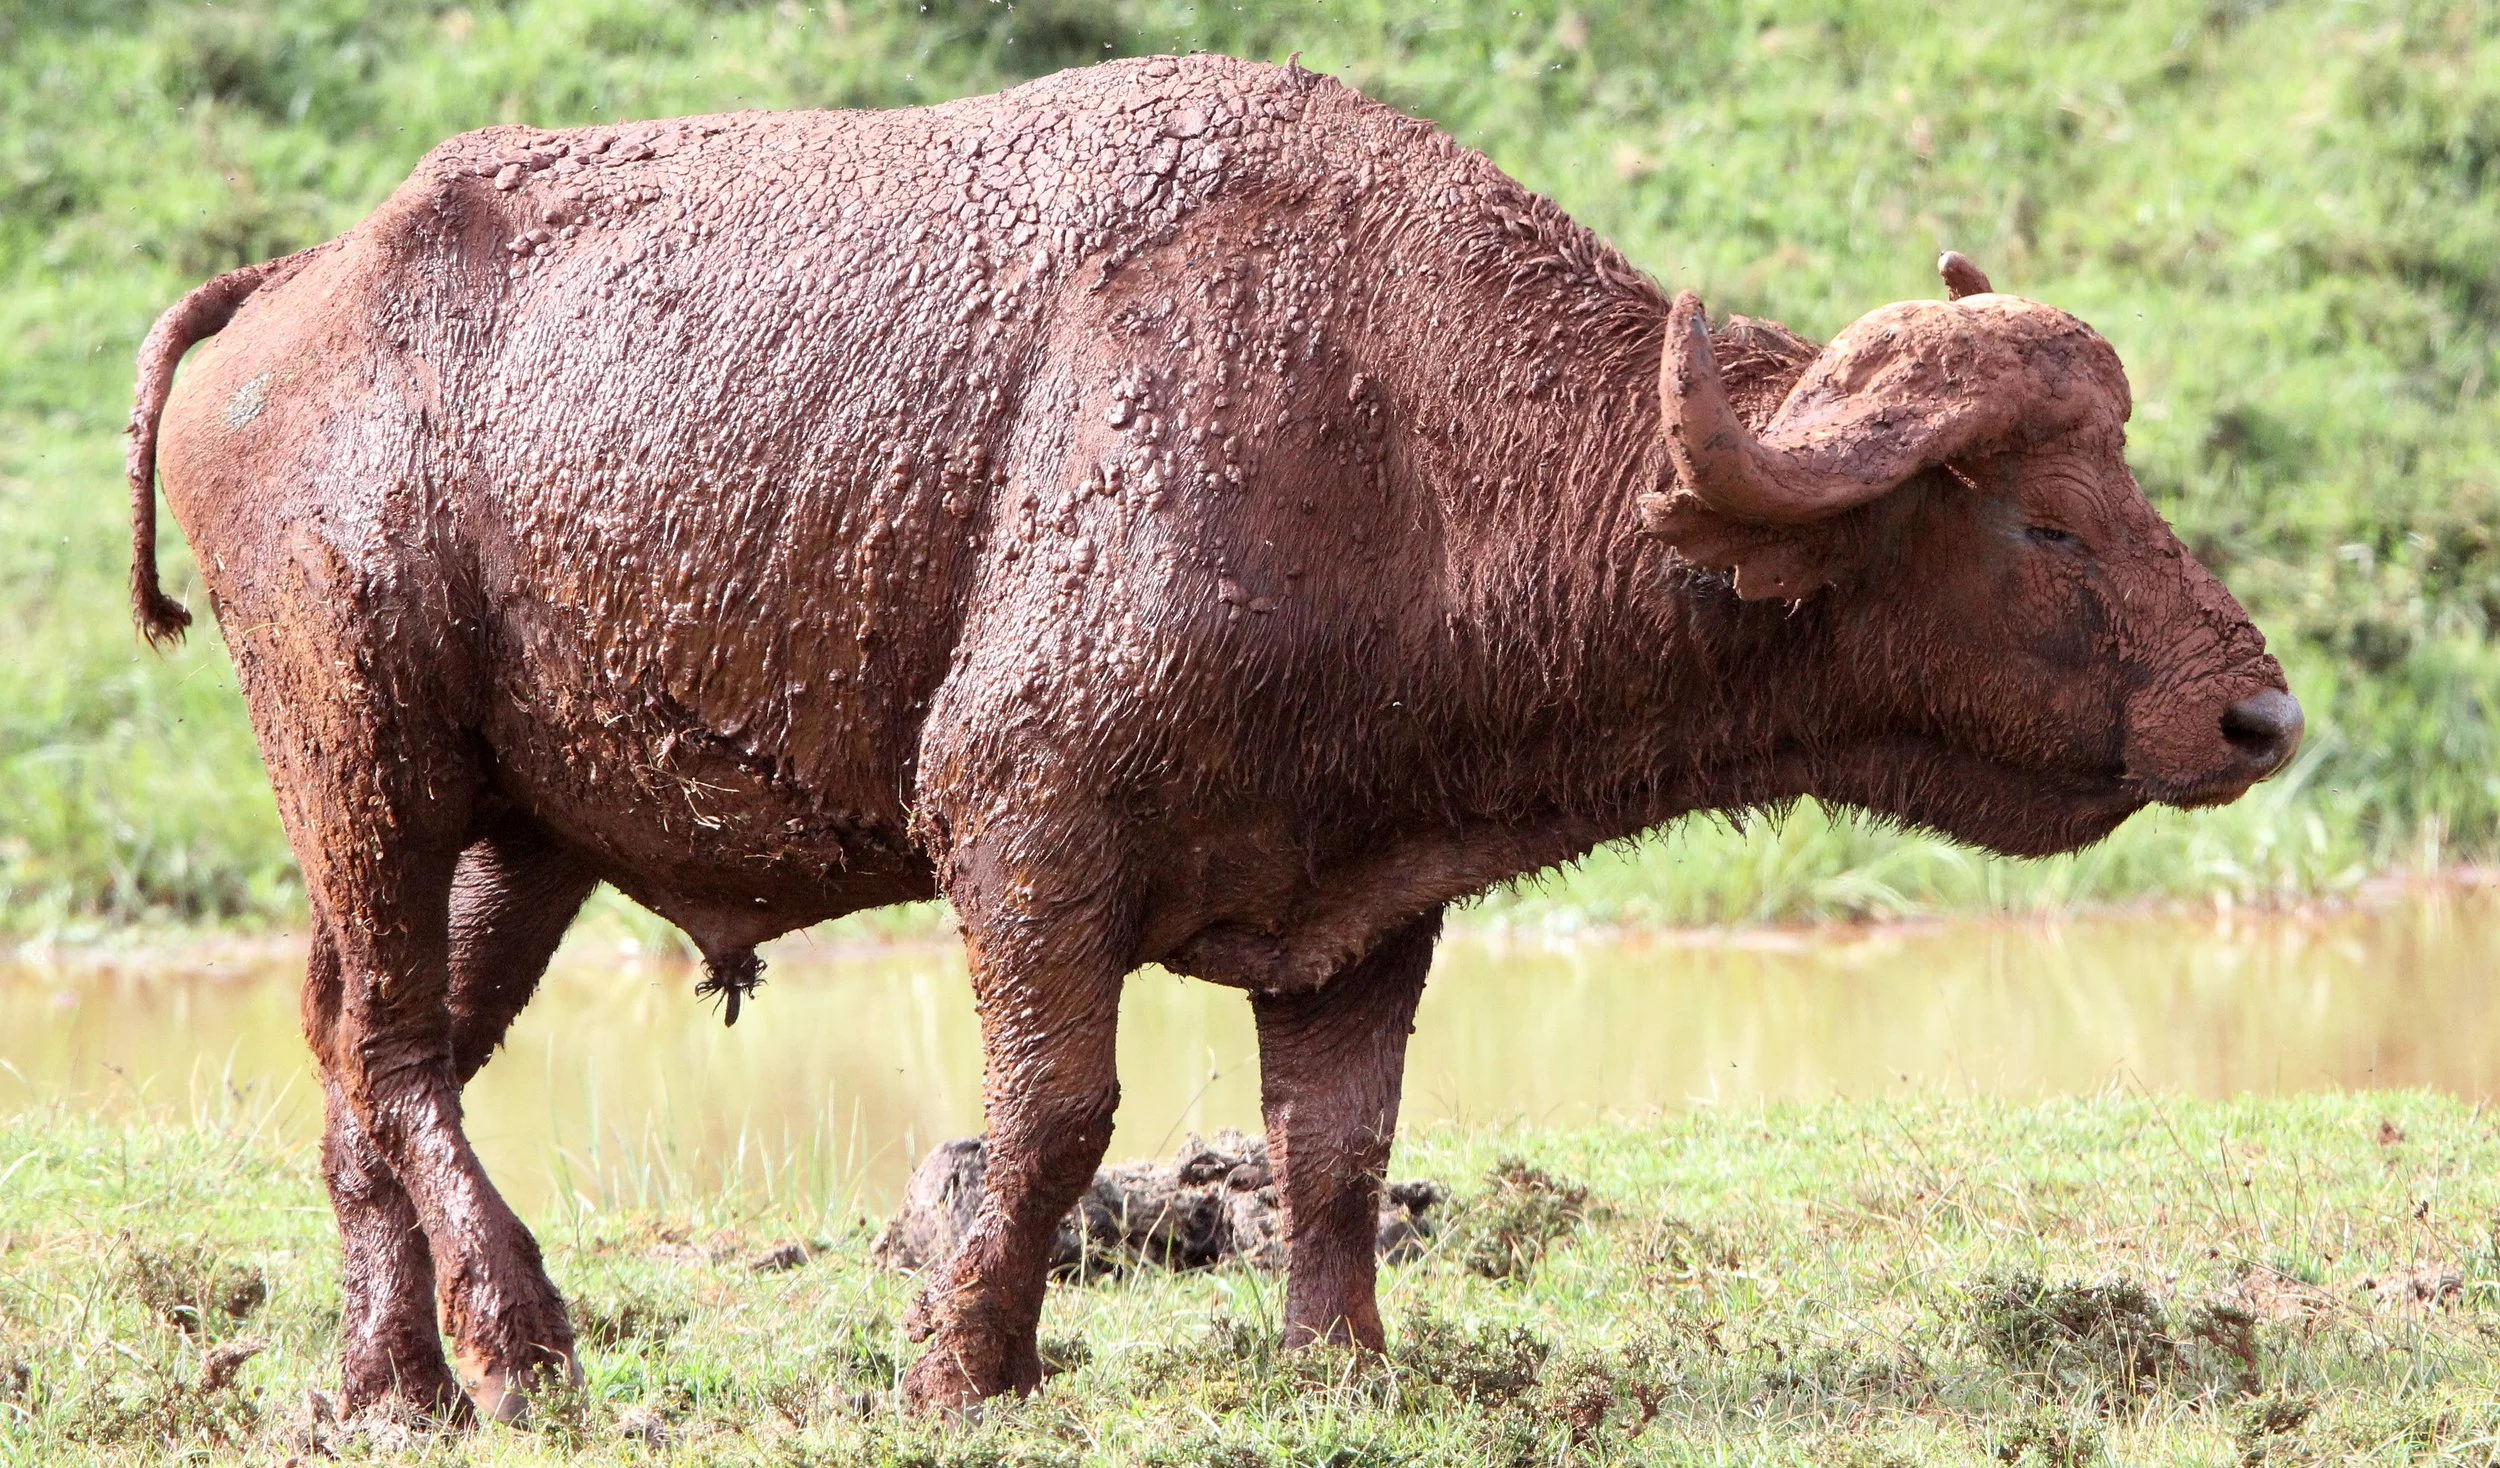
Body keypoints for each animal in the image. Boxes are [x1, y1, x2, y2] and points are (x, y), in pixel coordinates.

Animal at [126, 54, 2297, 1421]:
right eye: (2034, 516)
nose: (2254, 708)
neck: (1397, 430)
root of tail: (290, 289)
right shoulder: (1023, 823)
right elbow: (1057, 1108)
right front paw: (966, 1365)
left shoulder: (1367, 902)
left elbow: (1338, 1147)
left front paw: (1340, 1362)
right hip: (368, 762)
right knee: (396, 1046)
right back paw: (517, 1338)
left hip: (523, 834)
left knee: (363, 1059)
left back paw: (390, 1374)